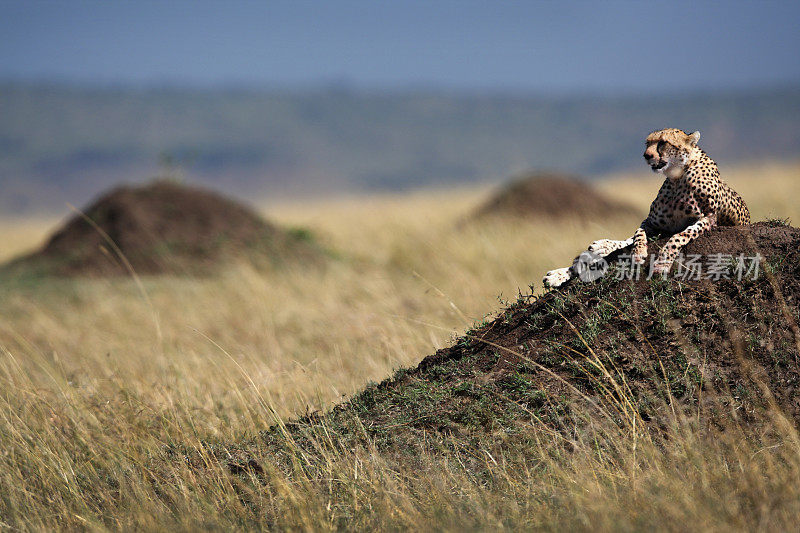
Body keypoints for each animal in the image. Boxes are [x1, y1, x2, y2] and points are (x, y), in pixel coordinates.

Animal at [544, 128, 752, 286]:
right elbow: (637, 234)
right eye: (647, 144)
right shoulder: (652, 222)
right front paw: (638, 253)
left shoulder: (707, 220)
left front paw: (662, 262)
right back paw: (568, 268)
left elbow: (679, 236)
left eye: (663, 143)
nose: (646, 155)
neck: (676, 178)